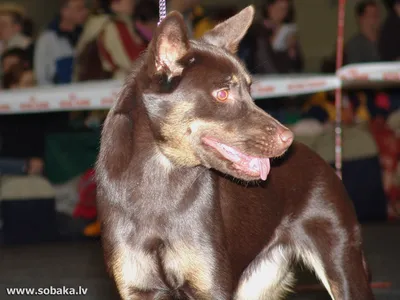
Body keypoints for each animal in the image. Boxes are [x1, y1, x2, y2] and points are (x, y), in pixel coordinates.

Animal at [96, 5, 376, 300]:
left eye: (250, 90)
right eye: (222, 94)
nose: (287, 138)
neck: (158, 178)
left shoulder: (210, 286)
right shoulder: (138, 289)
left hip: (342, 266)